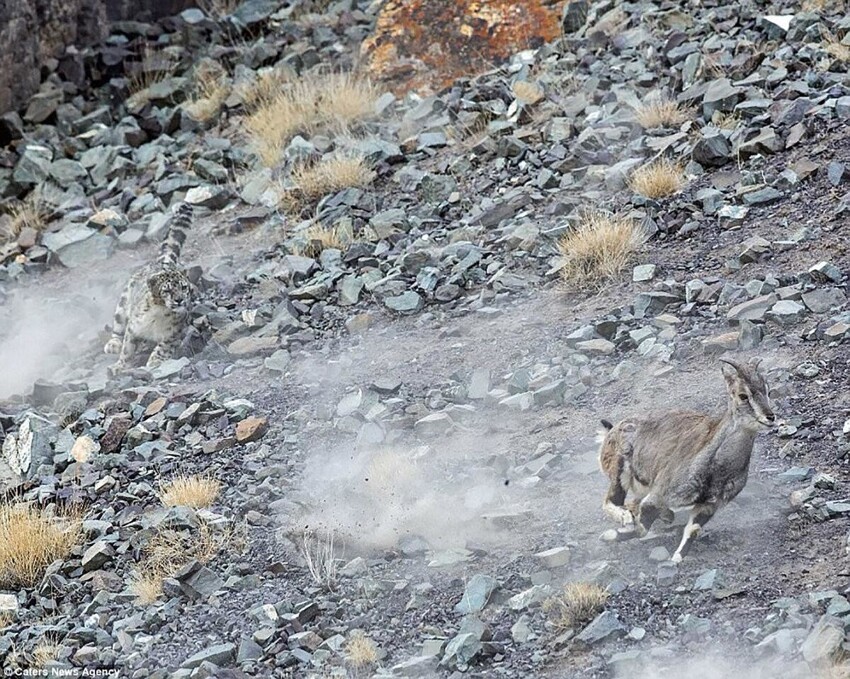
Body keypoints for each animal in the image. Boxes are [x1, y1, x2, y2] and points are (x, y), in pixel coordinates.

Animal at [104, 203, 195, 372]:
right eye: (167, 290)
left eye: (184, 287)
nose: (179, 300)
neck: (161, 314)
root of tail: (163, 262)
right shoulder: (133, 327)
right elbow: (127, 348)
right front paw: (119, 366)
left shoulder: (174, 333)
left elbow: (164, 347)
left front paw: (155, 360)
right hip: (123, 303)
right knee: (118, 326)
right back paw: (113, 344)